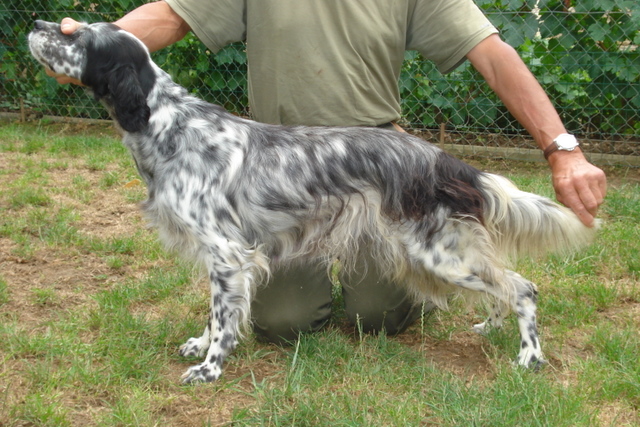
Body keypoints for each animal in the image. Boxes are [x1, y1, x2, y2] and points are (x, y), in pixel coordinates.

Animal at [27, 20, 596, 384]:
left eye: (76, 35)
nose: (35, 20)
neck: (170, 126)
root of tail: (444, 161)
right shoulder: (221, 257)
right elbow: (212, 313)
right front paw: (199, 344)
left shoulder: (227, 254)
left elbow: (223, 320)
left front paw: (210, 367)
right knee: (503, 287)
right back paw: (490, 329)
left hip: (439, 254)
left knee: (522, 288)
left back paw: (528, 358)